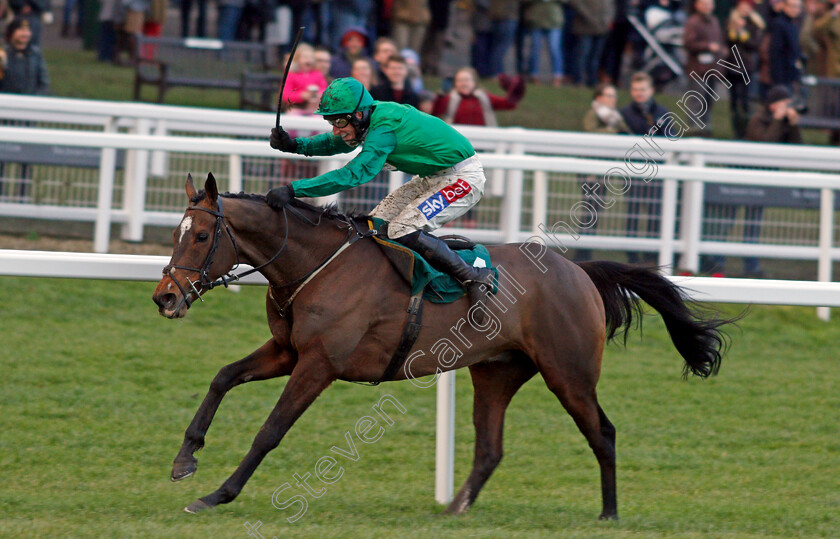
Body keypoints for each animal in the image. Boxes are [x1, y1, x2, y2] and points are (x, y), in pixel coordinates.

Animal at [154, 173, 732, 520]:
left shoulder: (319, 364)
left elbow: (270, 430)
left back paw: (609, 513)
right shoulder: (288, 351)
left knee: (603, 433)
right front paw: (185, 459)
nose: (165, 296)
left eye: (201, 236)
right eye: (176, 233)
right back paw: (457, 509)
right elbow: (223, 376)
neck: (316, 265)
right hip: (496, 372)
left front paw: (219, 493)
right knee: (490, 447)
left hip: (568, 373)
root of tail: (580, 271)